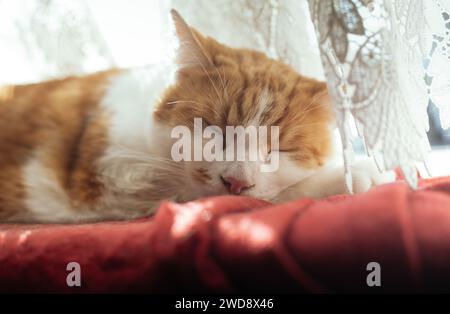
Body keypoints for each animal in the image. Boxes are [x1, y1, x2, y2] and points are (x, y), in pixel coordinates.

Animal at [0, 10, 392, 223]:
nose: (236, 182)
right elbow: (254, 197)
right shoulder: (111, 177)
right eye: (212, 132)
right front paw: (347, 174)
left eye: (279, 150)